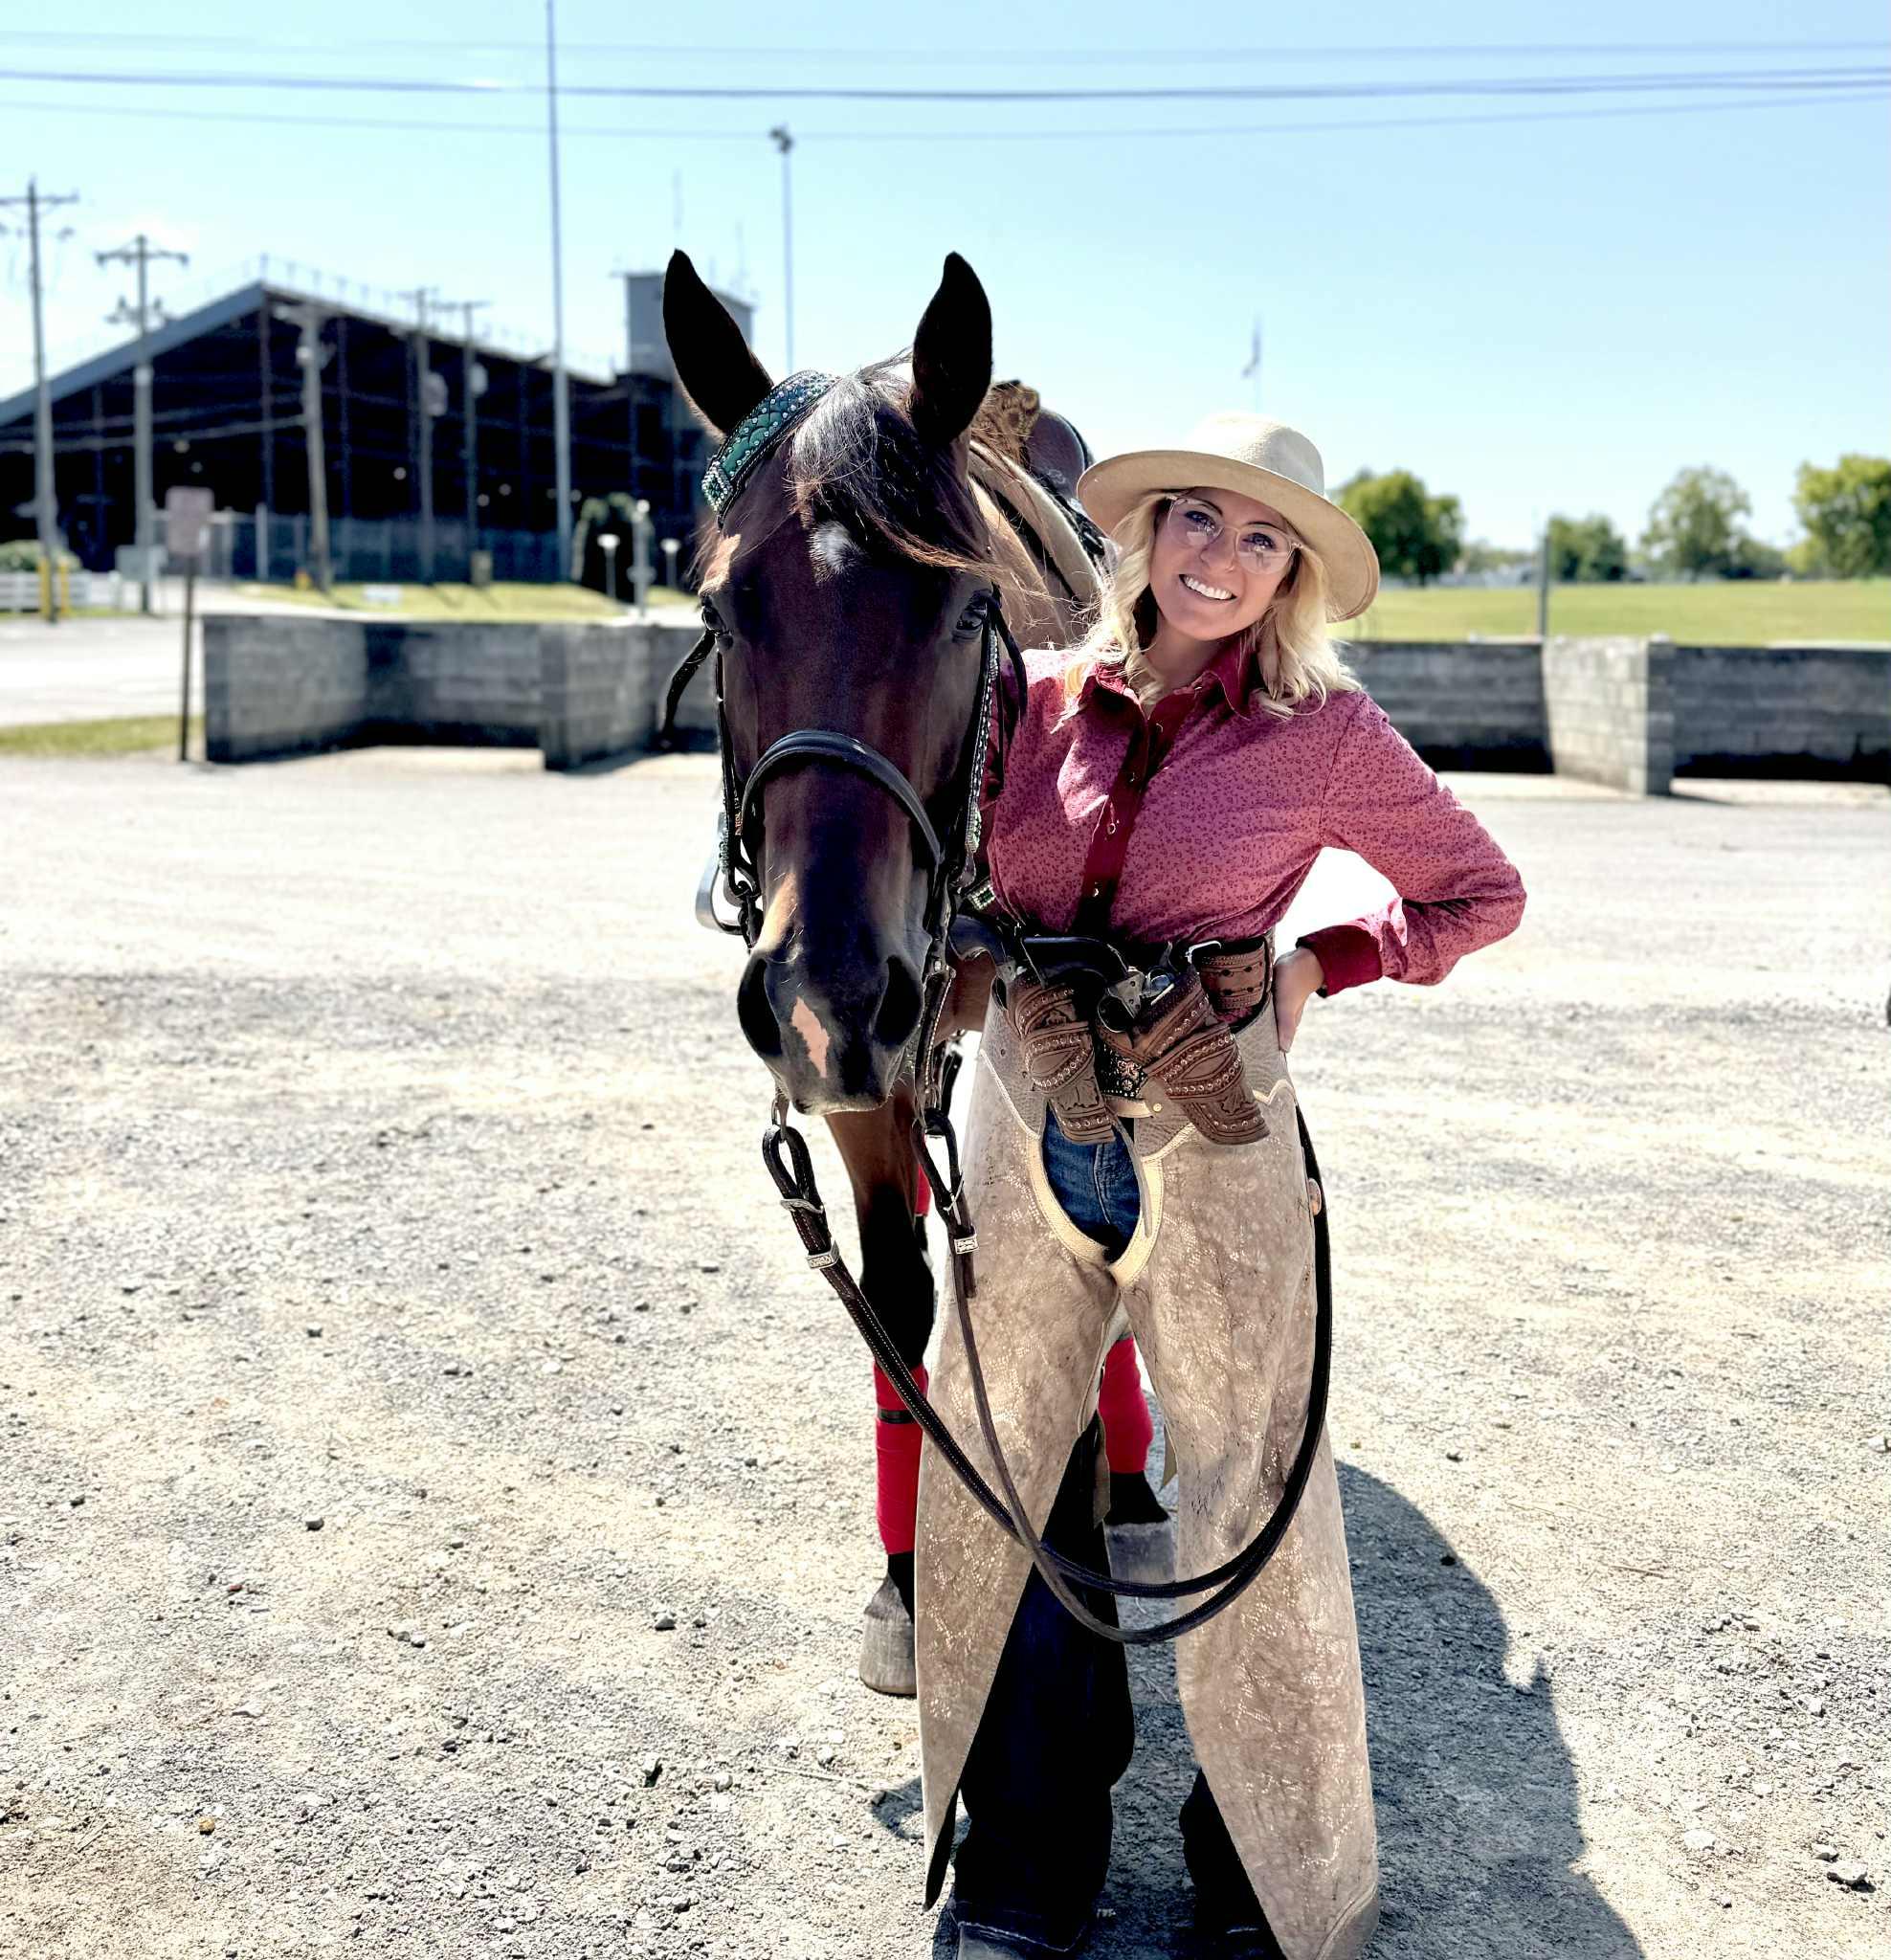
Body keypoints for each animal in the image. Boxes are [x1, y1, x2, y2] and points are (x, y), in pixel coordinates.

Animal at [662, 249, 1155, 1693]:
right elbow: (894, 1295)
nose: (819, 986)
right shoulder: (863, 1061)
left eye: (963, 606)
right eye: (722, 611)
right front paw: (904, 1567)